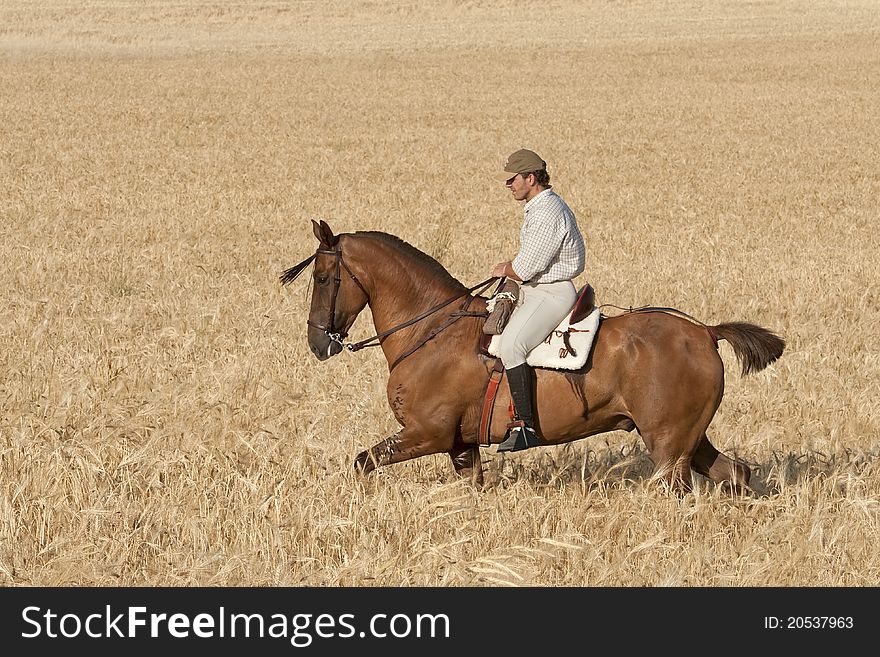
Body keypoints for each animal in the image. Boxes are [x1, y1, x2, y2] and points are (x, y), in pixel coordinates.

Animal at [282, 220, 784, 492]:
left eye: (323, 278)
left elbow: (362, 461)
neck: (430, 331)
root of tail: (704, 332)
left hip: (668, 447)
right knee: (736, 473)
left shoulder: (427, 434)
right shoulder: (461, 446)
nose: (317, 343)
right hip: (688, 440)